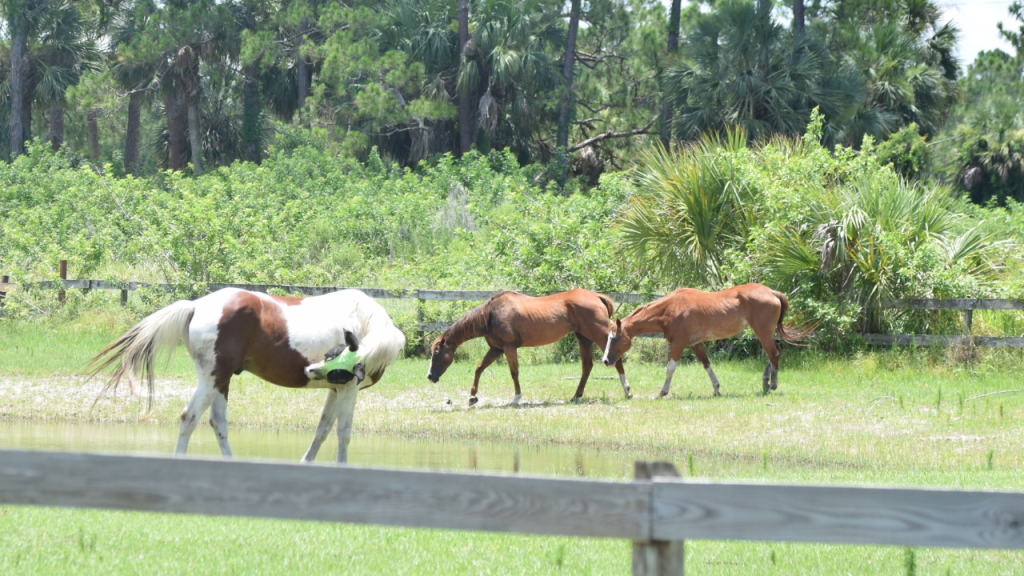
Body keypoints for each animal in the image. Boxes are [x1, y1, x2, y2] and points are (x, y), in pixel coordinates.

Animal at [89, 288, 405, 464]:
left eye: (332, 359)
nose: (309, 370)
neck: (366, 321)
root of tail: (196, 304)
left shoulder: (335, 388)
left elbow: (323, 429)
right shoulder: (349, 387)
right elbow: (344, 432)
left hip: (221, 381)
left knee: (218, 422)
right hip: (212, 380)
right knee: (189, 417)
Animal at [426, 289, 629, 405]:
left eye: (436, 352)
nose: (429, 376)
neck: (491, 314)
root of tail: (597, 296)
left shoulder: (509, 347)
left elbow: (514, 372)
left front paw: (517, 397)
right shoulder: (496, 349)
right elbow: (479, 368)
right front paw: (472, 397)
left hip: (600, 335)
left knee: (615, 358)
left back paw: (627, 390)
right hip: (584, 338)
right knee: (587, 366)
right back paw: (576, 396)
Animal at [602, 283, 804, 397]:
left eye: (614, 337)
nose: (605, 360)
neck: (671, 308)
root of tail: (771, 292)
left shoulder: (679, 344)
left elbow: (670, 369)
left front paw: (662, 392)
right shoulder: (695, 344)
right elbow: (707, 365)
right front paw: (716, 389)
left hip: (762, 332)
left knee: (774, 353)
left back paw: (772, 386)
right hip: (765, 333)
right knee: (775, 352)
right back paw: (765, 382)